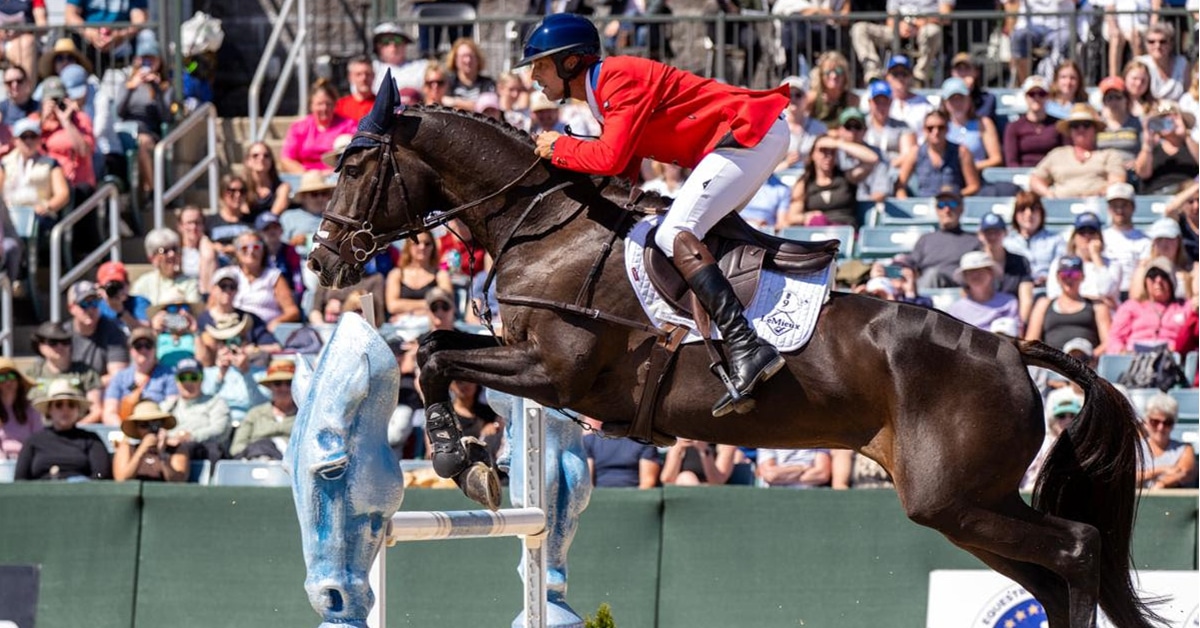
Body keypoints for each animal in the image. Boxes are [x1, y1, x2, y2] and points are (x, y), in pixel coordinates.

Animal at [306, 82, 1161, 628]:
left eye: (353, 166)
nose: (321, 262)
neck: (545, 226)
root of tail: (1010, 348)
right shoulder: (526, 361)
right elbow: (433, 346)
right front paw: (471, 458)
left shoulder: (554, 374)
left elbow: (435, 358)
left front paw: (462, 458)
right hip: (966, 509)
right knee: (1055, 577)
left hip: (954, 500)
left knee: (1079, 549)